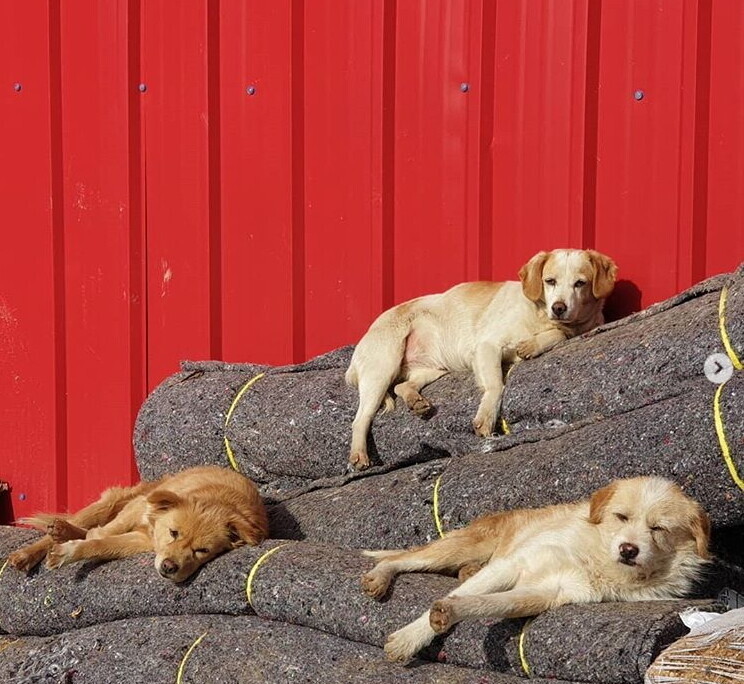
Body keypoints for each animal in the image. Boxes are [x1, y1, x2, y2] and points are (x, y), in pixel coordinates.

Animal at [7, 464, 268, 584]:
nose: (169, 567)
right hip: (113, 503)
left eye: (202, 551)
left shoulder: (144, 541)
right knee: (80, 524)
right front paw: (73, 543)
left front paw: (70, 550)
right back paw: (31, 550)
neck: (217, 501)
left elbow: (101, 544)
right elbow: (102, 533)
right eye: (174, 533)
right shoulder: (138, 509)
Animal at [346, 247, 620, 470]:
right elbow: (497, 385)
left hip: (433, 370)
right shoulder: (487, 347)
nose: (559, 308)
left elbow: (557, 335)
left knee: (403, 385)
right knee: (360, 419)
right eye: (549, 281)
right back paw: (359, 455)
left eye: (580, 283)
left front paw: (531, 346)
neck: (540, 316)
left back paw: (417, 401)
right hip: (382, 367)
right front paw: (486, 419)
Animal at [364, 476, 712, 664]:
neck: (594, 556)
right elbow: (450, 601)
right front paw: (409, 639)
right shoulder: (511, 564)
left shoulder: (547, 593)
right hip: (461, 548)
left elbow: (484, 603)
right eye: (621, 517)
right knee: (400, 558)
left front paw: (449, 611)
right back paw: (380, 576)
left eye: (658, 528)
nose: (628, 550)